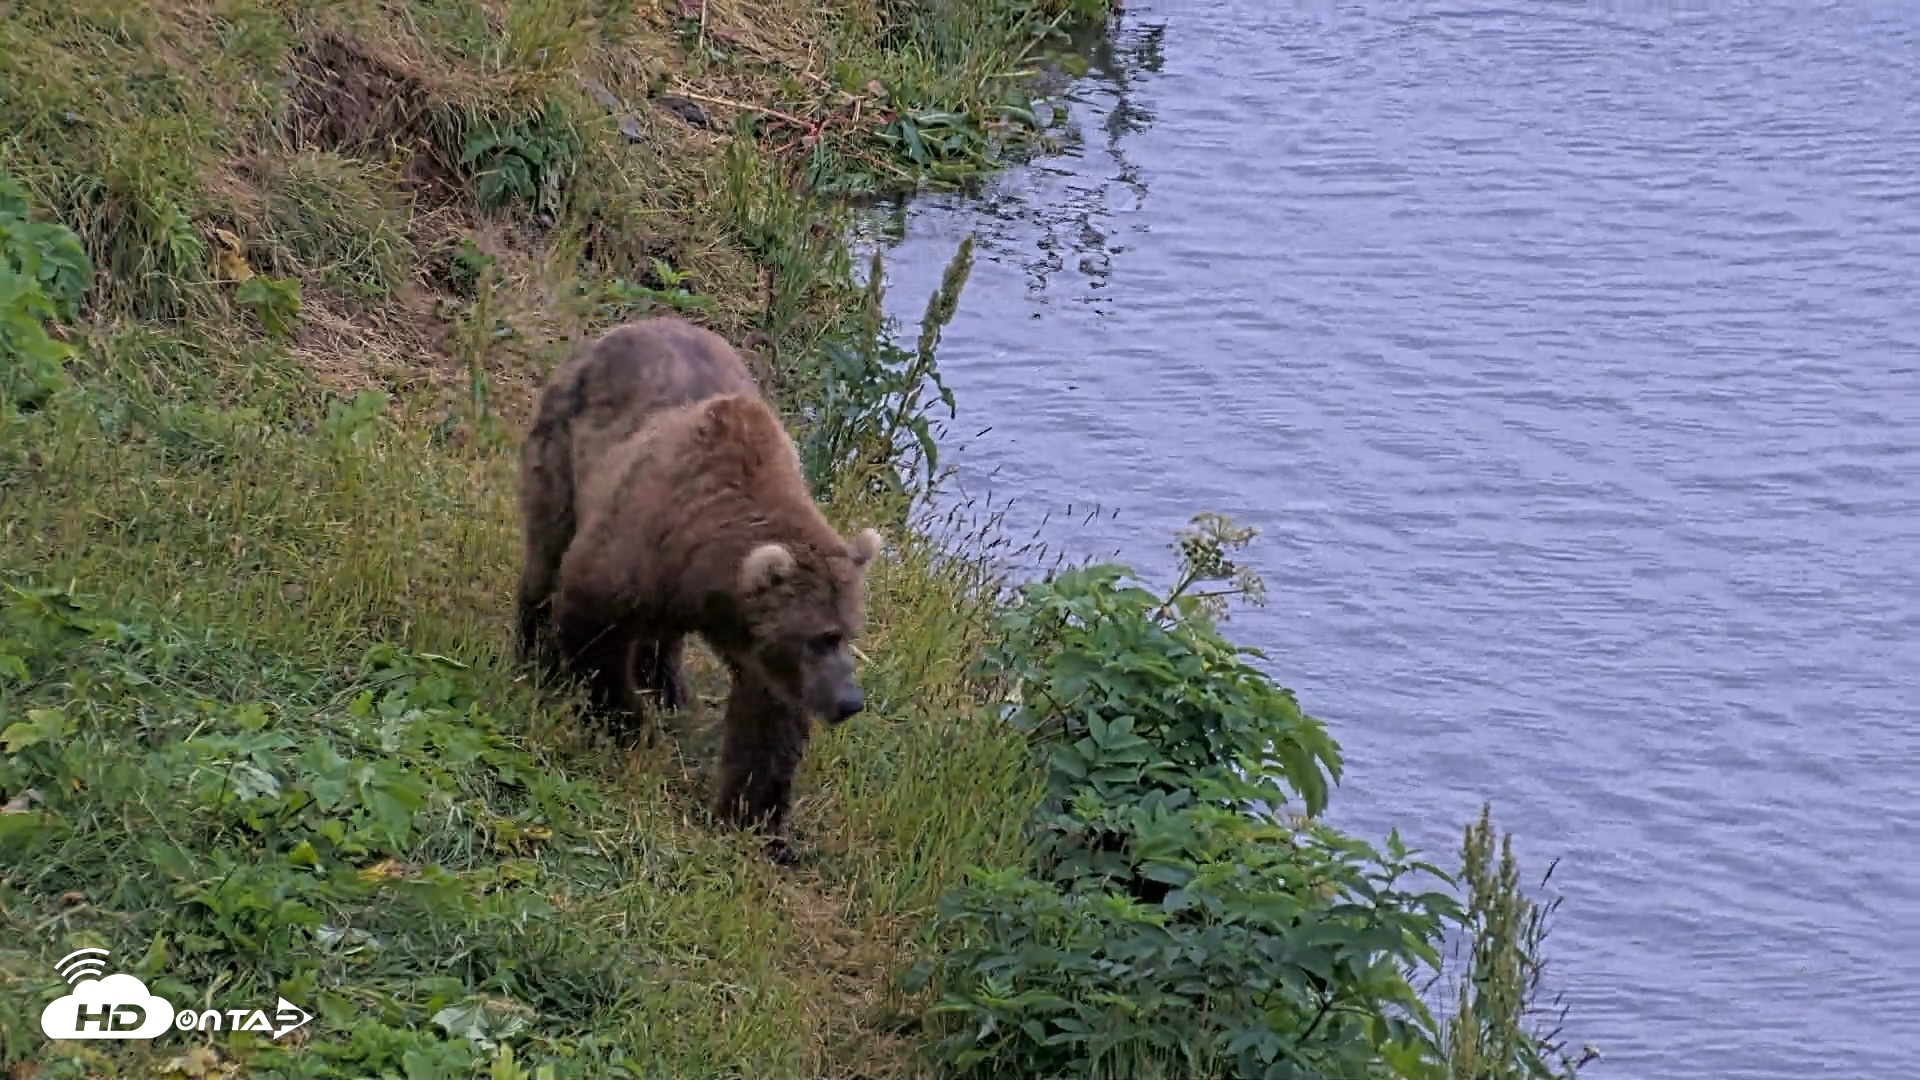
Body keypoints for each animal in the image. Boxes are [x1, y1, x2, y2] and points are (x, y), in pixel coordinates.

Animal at [515, 315, 883, 864]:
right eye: (822, 636)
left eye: (848, 632)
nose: (849, 700)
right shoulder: (636, 543)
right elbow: (592, 623)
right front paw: (628, 724)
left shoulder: (759, 649)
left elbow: (768, 723)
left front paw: (758, 821)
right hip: (562, 444)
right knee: (546, 549)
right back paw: (534, 650)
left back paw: (667, 683)